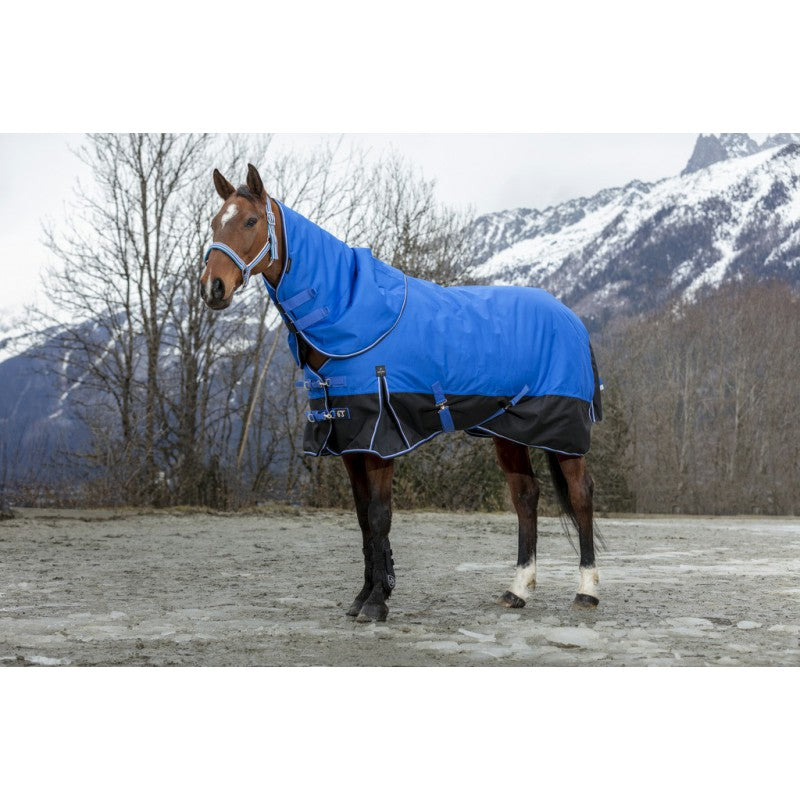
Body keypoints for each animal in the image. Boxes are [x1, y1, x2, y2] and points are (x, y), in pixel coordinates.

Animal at [201, 163, 603, 622]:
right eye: (215, 222)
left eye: (250, 221)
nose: (212, 288)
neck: (349, 313)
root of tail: (572, 318)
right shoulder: (349, 443)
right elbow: (362, 519)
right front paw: (365, 595)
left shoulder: (380, 441)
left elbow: (379, 516)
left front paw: (376, 602)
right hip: (507, 432)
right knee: (526, 497)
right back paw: (517, 590)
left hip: (564, 432)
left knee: (581, 495)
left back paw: (587, 591)